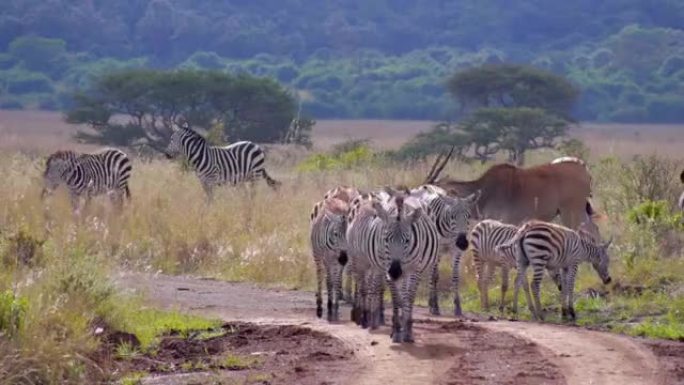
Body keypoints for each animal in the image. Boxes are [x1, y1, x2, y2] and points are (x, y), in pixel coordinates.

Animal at [372, 192, 440, 342]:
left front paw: (407, 331)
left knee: (408, 294)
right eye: (386, 239)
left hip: (414, 270)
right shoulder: (387, 269)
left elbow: (409, 298)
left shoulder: (414, 270)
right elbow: (397, 299)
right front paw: (397, 330)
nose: (395, 271)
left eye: (407, 240)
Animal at [408, 183, 478, 316]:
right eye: (452, 216)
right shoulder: (438, 250)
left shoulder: (456, 251)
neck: (449, 232)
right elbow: (435, 276)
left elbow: (455, 277)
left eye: (469, 216)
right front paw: (435, 307)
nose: (462, 242)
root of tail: (423, 186)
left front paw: (457, 307)